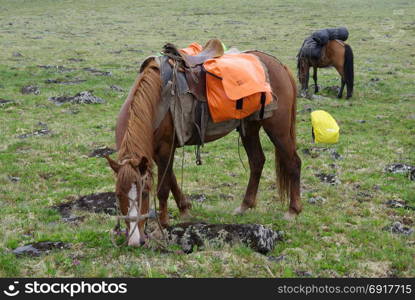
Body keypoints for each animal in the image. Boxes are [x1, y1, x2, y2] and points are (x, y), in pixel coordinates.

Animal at [105, 51, 300, 247]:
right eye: (117, 195)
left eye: (145, 194)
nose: (134, 241)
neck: (156, 100)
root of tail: (278, 65)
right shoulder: (155, 154)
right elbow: (172, 179)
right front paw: (184, 208)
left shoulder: (166, 149)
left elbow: (163, 187)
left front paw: (164, 224)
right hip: (251, 127)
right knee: (257, 161)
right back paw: (245, 205)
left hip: (278, 128)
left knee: (293, 162)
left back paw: (293, 210)